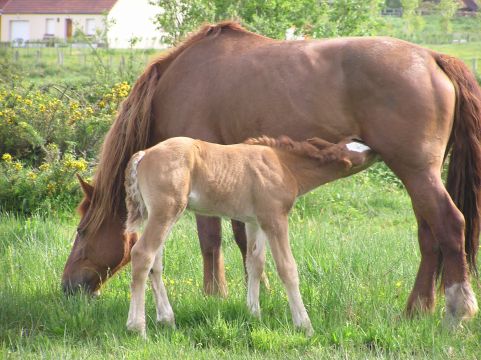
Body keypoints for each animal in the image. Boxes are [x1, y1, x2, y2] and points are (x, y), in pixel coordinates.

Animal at [123, 136, 376, 338]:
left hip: (160, 215)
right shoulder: (274, 219)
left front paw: (254, 314)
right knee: (143, 254)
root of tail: (144, 155)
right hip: (166, 211)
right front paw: (304, 325)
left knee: (156, 263)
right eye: (359, 151)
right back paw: (138, 328)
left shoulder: (254, 222)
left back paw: (167, 319)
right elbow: (287, 268)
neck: (284, 165)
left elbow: (255, 263)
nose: (374, 147)